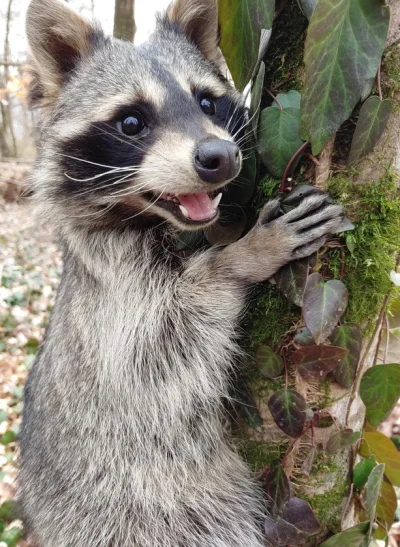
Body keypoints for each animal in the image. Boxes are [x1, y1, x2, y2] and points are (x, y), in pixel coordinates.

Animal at [19, 1, 344, 547]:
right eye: (131, 122)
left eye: (208, 104)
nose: (221, 157)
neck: (152, 220)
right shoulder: (114, 291)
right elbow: (161, 339)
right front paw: (244, 255)